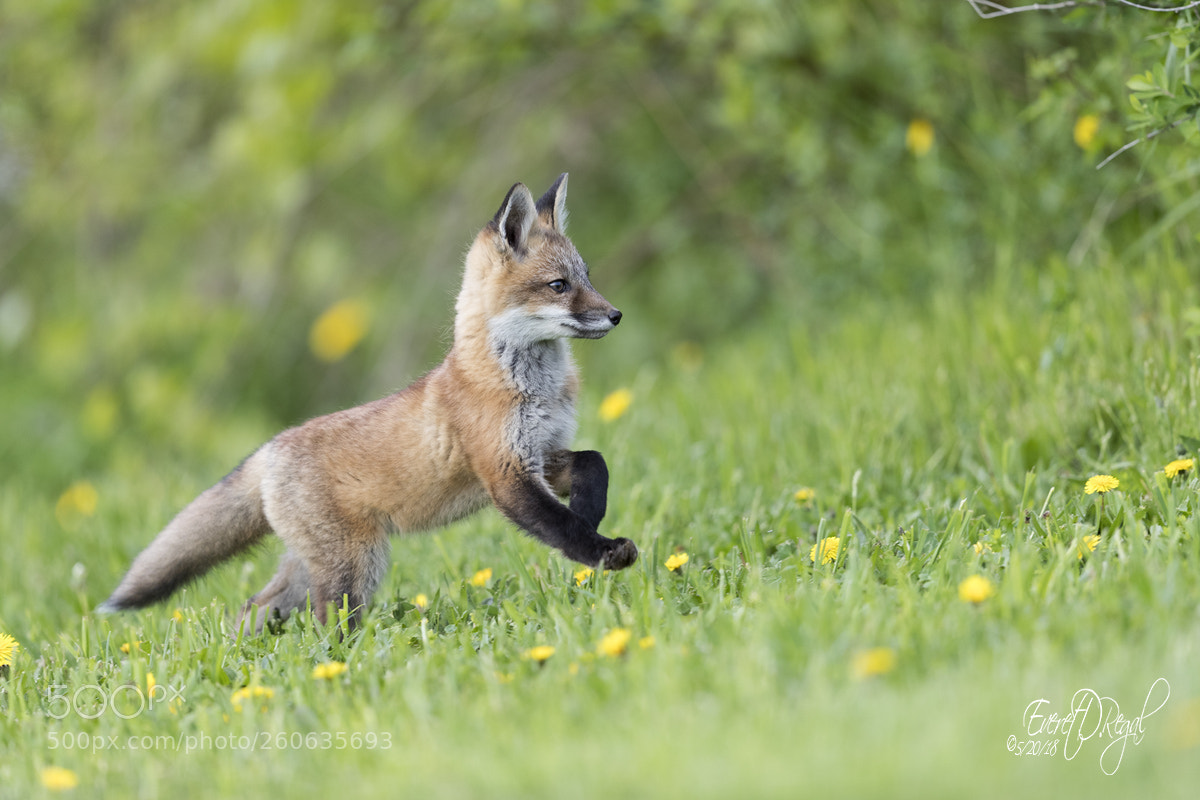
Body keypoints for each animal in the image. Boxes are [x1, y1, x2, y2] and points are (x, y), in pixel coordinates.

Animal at [98, 173, 637, 632]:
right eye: (559, 286)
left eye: (587, 277)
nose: (616, 315)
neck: (527, 386)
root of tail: (270, 449)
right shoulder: (504, 474)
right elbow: (560, 526)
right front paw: (602, 551)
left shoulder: (542, 454)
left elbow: (595, 462)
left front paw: (592, 513)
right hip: (356, 564)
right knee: (328, 626)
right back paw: (344, 663)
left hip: (310, 568)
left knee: (254, 608)